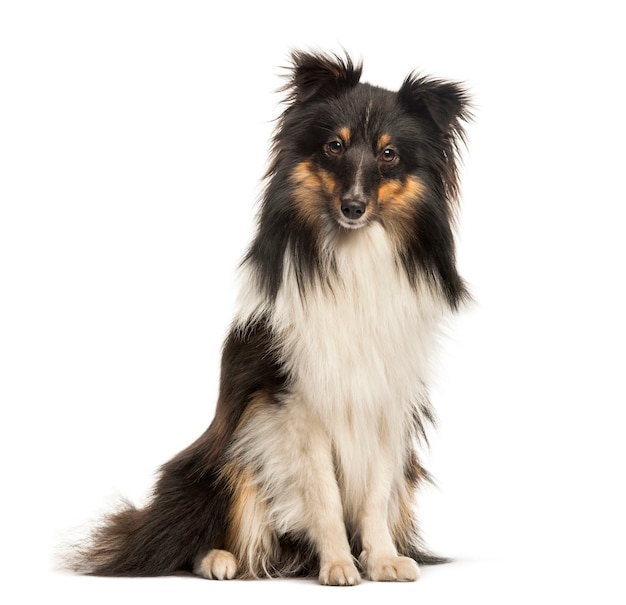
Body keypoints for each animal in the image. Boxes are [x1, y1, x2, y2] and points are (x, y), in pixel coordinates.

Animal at [69, 52, 468, 584]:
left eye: (389, 154)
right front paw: (338, 565)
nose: (353, 207)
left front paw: (380, 560)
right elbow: (323, 494)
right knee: (207, 532)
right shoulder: (293, 405)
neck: (354, 254)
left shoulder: (384, 401)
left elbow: (374, 493)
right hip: (226, 458)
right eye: (334, 145)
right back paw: (221, 560)